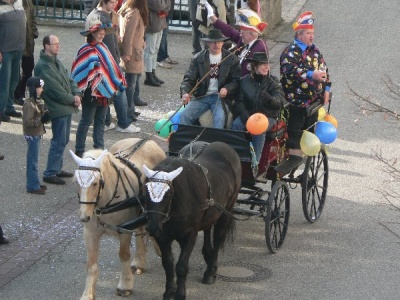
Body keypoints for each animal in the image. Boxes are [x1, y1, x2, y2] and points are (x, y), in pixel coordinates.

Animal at [70, 138, 166, 300]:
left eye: (95, 183)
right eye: (76, 182)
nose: (84, 216)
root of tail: (149, 141)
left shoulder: (124, 230)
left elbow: (124, 255)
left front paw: (125, 285)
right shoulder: (90, 233)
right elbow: (91, 264)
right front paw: (88, 293)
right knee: (141, 231)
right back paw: (140, 261)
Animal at [142, 141, 241, 300]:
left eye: (168, 194)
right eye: (145, 193)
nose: (152, 227)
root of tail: (225, 145)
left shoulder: (190, 235)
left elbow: (181, 266)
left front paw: (180, 293)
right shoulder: (162, 236)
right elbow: (167, 263)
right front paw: (169, 290)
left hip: (227, 209)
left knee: (218, 238)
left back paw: (210, 271)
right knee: (207, 228)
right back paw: (208, 254)